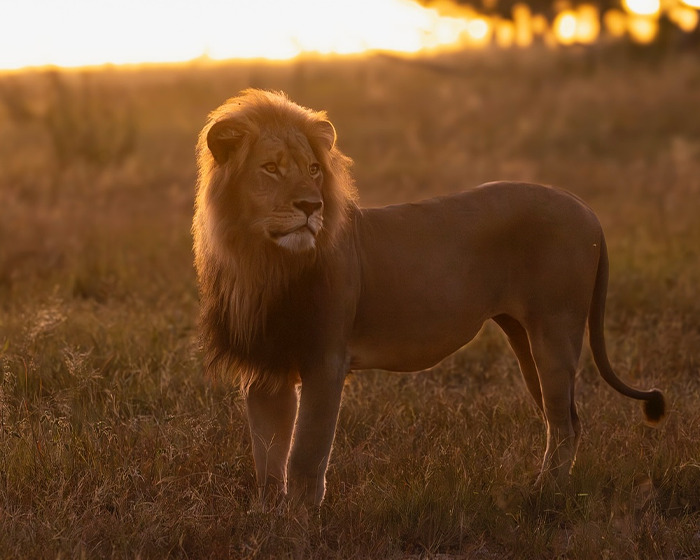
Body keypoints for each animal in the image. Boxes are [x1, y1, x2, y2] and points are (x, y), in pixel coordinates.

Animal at [192, 89, 665, 507]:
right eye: (271, 168)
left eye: (312, 169)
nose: (312, 206)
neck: (262, 262)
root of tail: (585, 207)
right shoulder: (265, 368)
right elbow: (267, 460)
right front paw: (268, 520)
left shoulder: (325, 360)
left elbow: (304, 456)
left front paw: (300, 524)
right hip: (525, 338)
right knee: (565, 419)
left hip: (555, 331)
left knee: (564, 424)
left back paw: (543, 497)